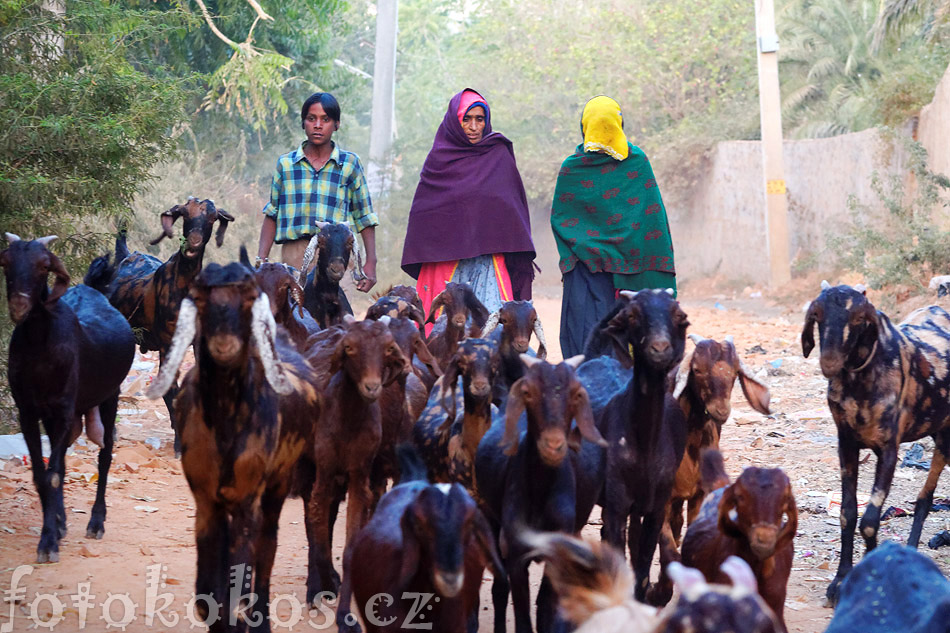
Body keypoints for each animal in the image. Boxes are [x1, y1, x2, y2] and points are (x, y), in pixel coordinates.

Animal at [0, 235, 135, 560]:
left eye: (43, 265)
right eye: (6, 262)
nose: (19, 305)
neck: (40, 348)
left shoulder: (62, 410)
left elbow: (53, 474)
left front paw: (48, 541)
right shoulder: (29, 411)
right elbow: (45, 473)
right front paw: (54, 529)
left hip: (109, 398)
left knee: (105, 457)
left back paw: (96, 522)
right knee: (61, 464)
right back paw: (62, 520)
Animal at [304, 318, 410, 628]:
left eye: (387, 349)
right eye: (349, 348)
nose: (372, 387)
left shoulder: (360, 475)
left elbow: (351, 546)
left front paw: (344, 616)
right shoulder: (324, 473)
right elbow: (319, 538)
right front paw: (325, 585)